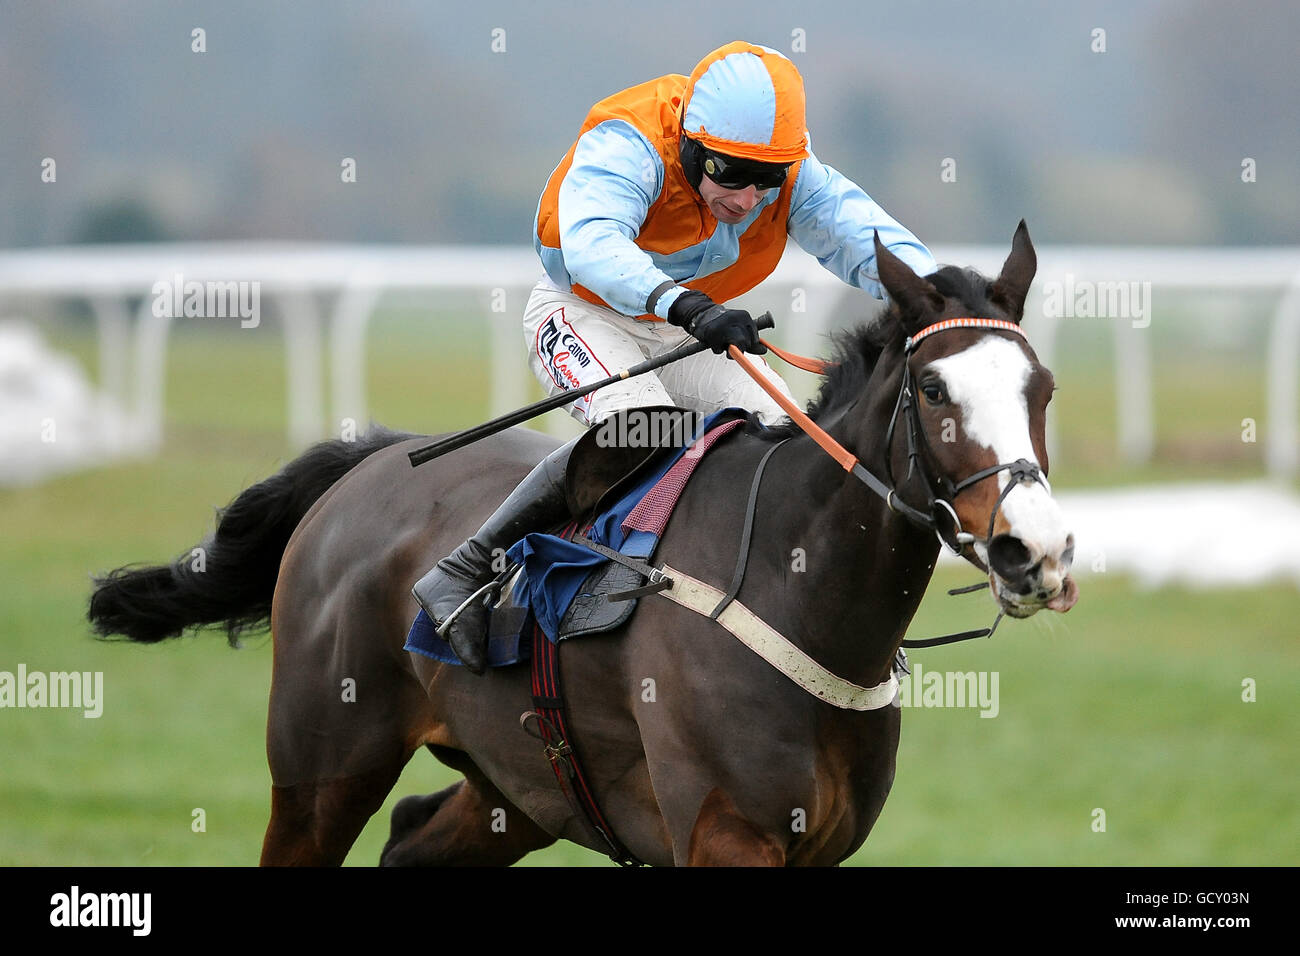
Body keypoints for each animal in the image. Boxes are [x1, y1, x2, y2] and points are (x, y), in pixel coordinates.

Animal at [89, 223, 1076, 868]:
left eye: (1044, 387)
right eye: (936, 390)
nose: (1035, 550)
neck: (795, 589)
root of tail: (367, 464)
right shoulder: (726, 837)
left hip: (517, 786)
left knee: (412, 841)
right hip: (320, 768)